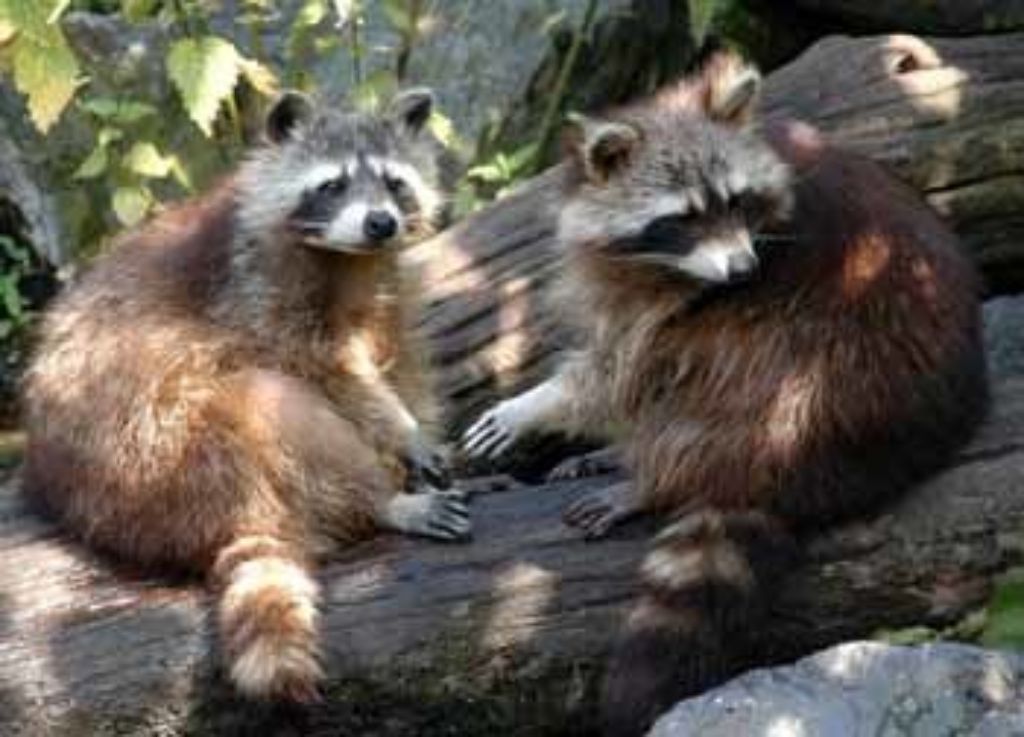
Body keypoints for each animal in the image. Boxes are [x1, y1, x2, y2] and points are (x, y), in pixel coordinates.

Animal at [23, 89, 470, 702]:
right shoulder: (256, 288)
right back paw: (380, 499)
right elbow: (324, 370)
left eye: (393, 182)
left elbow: (401, 352)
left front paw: (416, 432)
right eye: (333, 184)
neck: (346, 256)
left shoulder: (385, 283)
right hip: (161, 453)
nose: (380, 222)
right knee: (273, 403)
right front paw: (401, 434)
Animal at [464, 52, 988, 734]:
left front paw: (542, 405)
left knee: (717, 367)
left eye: (735, 201)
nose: (742, 270)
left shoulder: (713, 284)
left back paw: (657, 477)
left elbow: (624, 362)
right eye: (682, 219)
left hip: (827, 376)